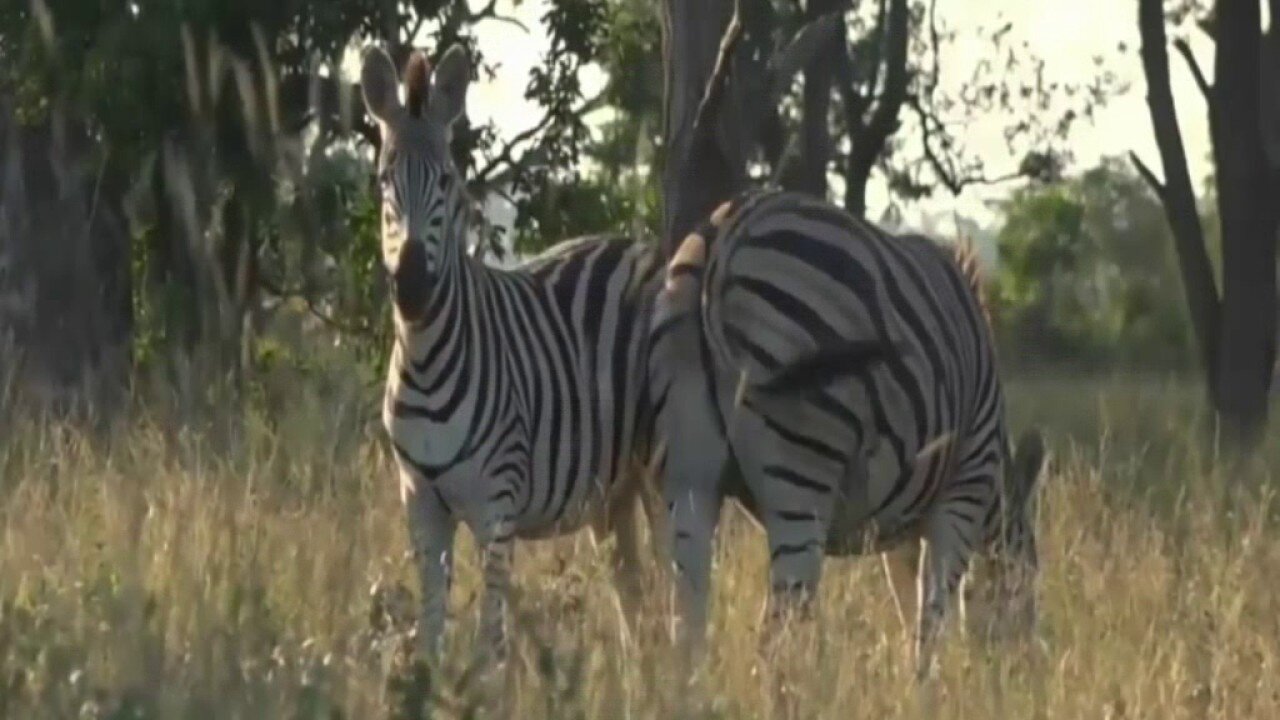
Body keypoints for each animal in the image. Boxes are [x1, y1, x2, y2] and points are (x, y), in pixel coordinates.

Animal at [358, 43, 660, 661]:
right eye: (382, 181)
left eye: (448, 181)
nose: (413, 288)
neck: (426, 360)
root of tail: (645, 248)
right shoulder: (419, 502)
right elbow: (431, 627)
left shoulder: (496, 507)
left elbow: (491, 640)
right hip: (614, 494)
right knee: (638, 604)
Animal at [650, 188, 1049, 676]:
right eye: (1030, 577)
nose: (1027, 669)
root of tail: (723, 236)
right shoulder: (962, 492)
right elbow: (933, 614)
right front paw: (927, 684)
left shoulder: (901, 521)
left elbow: (910, 608)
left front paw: (910, 682)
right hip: (803, 465)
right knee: (780, 623)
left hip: (690, 473)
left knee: (687, 621)